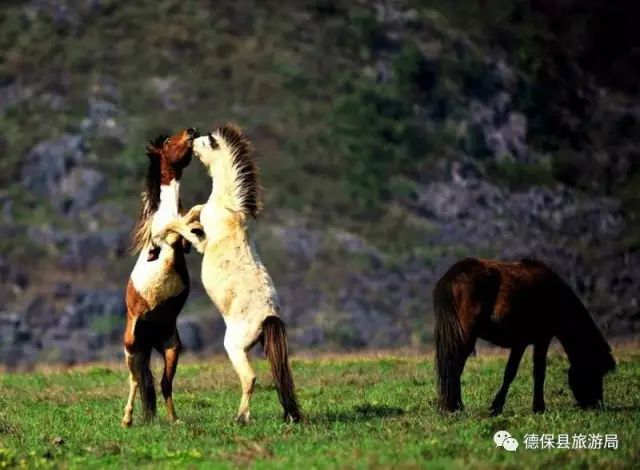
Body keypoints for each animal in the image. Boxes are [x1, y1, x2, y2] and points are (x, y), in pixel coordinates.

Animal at [436, 258, 616, 416]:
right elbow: (530, 372)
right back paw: (454, 407)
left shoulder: (523, 343)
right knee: (455, 365)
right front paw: (536, 407)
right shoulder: (539, 339)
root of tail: (452, 275)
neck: (556, 296)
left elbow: (518, 372)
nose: (597, 405)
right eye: (596, 370)